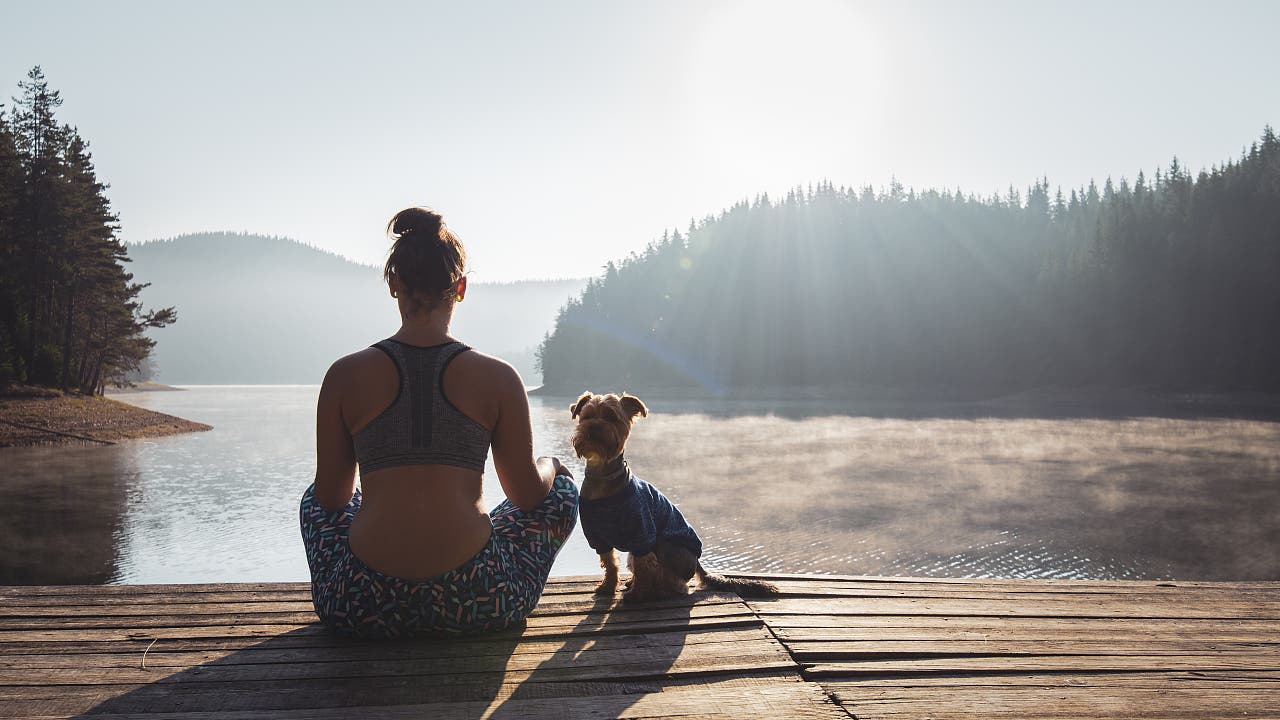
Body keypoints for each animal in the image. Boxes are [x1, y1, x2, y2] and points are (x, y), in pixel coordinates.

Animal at [573, 389, 778, 602]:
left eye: (611, 417)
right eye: (586, 416)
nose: (593, 427)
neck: (604, 477)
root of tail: (698, 562)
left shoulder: (643, 534)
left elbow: (643, 567)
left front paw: (636, 595)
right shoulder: (598, 538)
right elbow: (611, 564)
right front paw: (608, 587)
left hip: (666, 545)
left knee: (676, 584)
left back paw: (657, 591)